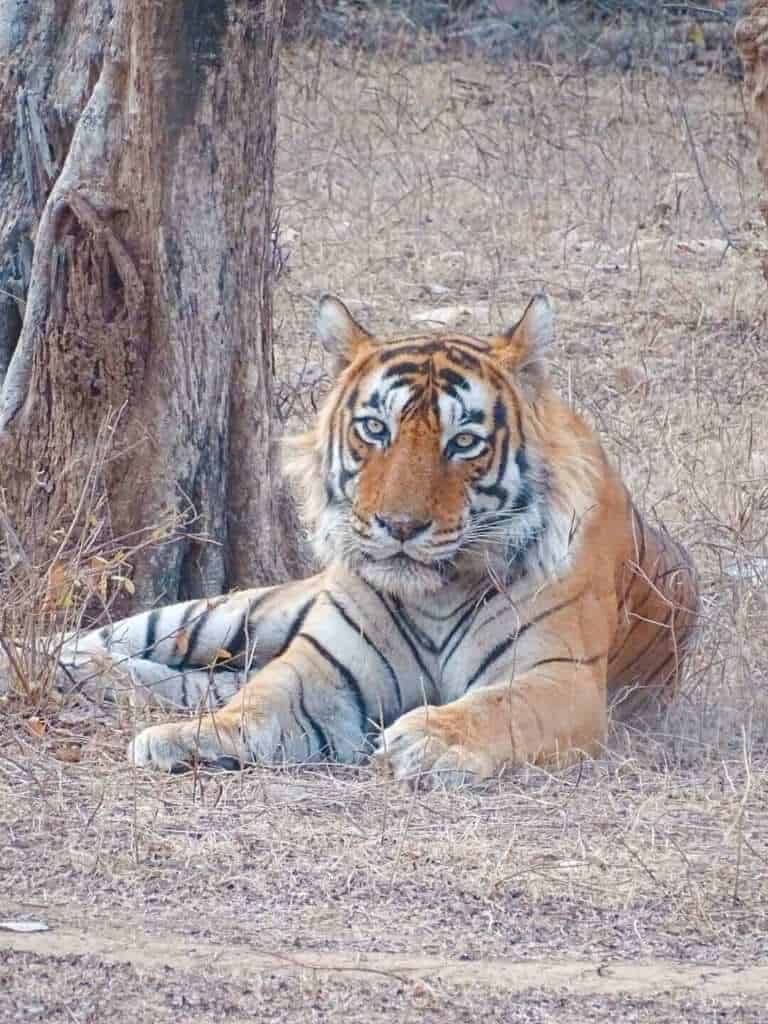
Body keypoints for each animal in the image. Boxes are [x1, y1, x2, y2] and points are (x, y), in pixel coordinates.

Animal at [11, 294, 699, 786]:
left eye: (464, 442)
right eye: (375, 429)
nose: (401, 527)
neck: (436, 592)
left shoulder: (560, 678)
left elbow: (496, 707)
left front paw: (427, 739)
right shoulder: (323, 665)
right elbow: (259, 703)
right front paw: (188, 738)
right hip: (236, 610)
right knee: (118, 638)